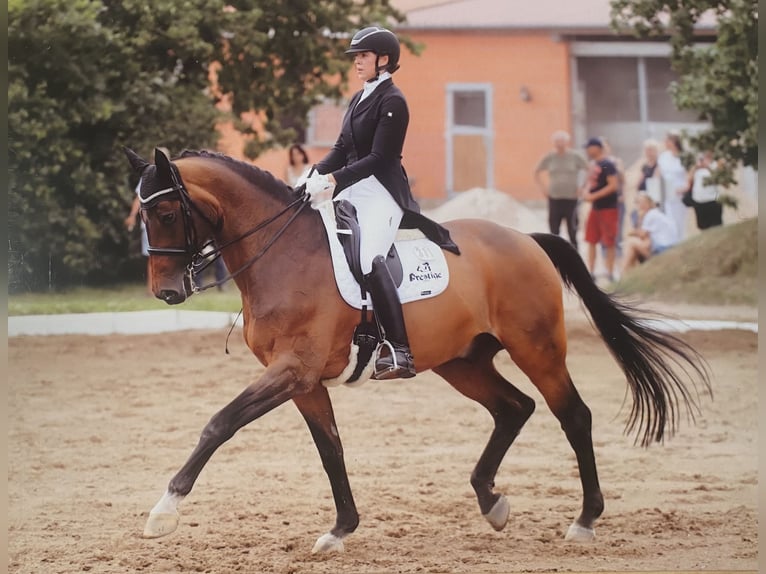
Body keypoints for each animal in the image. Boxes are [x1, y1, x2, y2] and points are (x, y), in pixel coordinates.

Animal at [121, 147, 712, 552]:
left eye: (167, 214)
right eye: (143, 215)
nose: (166, 292)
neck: (282, 254)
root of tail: (526, 238)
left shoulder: (293, 370)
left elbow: (219, 424)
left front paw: (164, 511)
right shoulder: (303, 381)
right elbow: (331, 449)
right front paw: (341, 530)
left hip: (537, 348)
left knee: (573, 415)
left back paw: (584, 520)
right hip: (462, 361)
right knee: (514, 408)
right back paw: (491, 501)